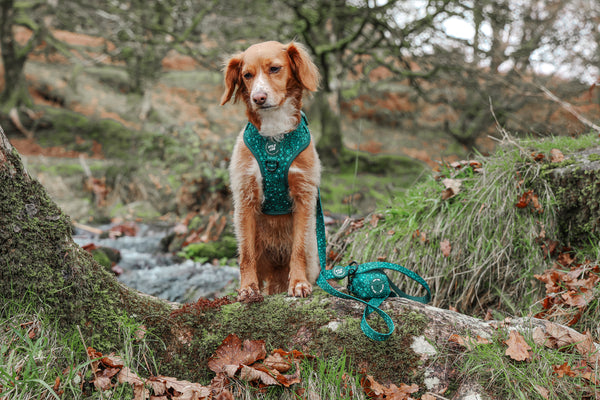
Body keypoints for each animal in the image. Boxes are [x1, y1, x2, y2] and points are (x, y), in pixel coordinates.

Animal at [221, 41, 324, 300]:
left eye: (275, 69)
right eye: (247, 75)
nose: (258, 97)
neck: (274, 138)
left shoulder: (304, 195)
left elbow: (298, 248)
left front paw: (298, 283)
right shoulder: (245, 197)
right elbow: (246, 254)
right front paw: (248, 287)